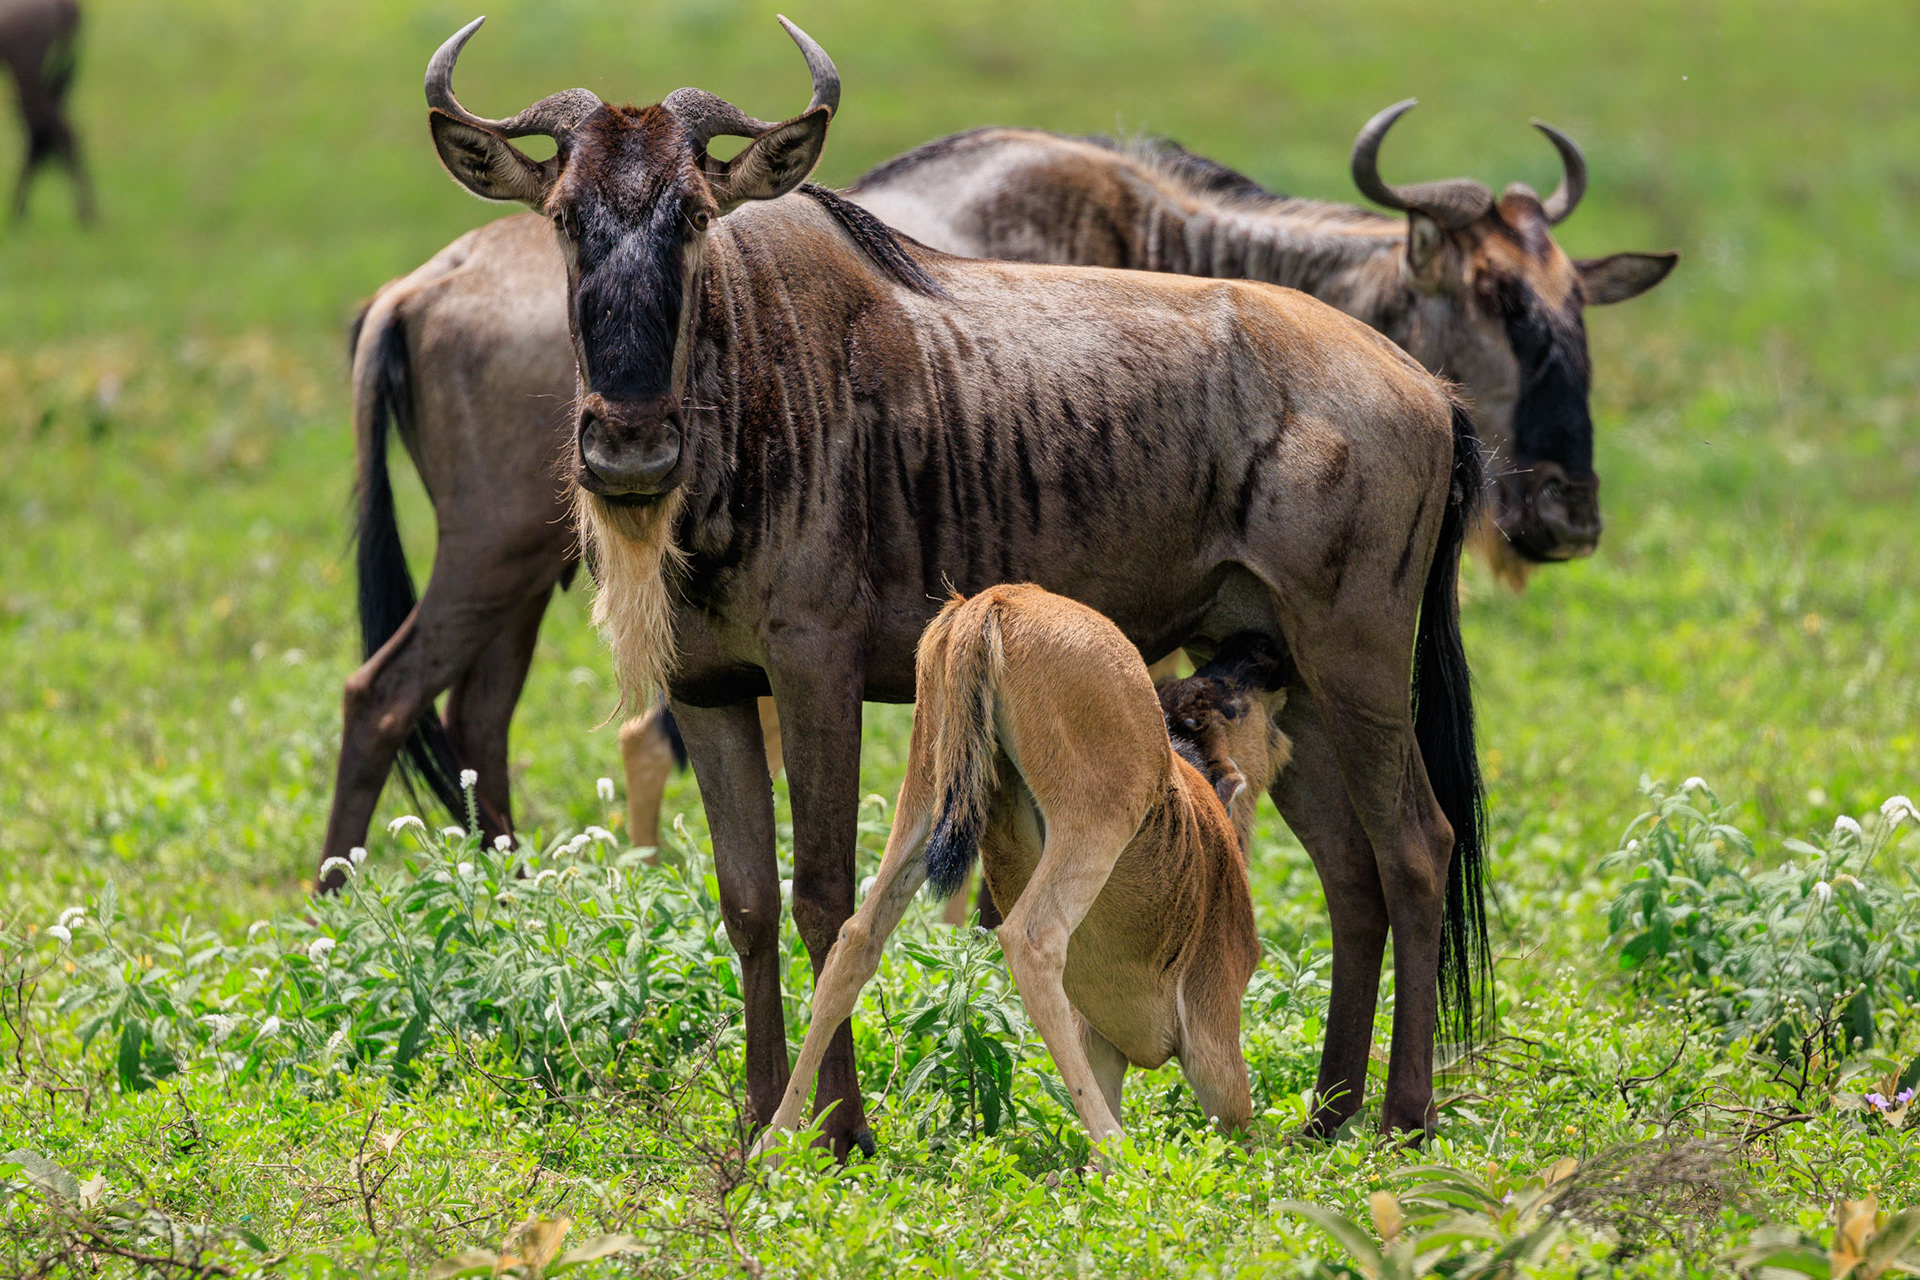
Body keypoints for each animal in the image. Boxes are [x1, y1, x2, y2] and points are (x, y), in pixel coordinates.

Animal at [753, 587, 1290, 1154]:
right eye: (1234, 705)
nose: (1262, 651)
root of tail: (995, 600)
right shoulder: (1214, 1043)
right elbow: (1239, 1123)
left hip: (925, 792)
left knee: (857, 938)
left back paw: (773, 1144)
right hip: (1095, 822)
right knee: (1033, 940)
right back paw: (1115, 1154)